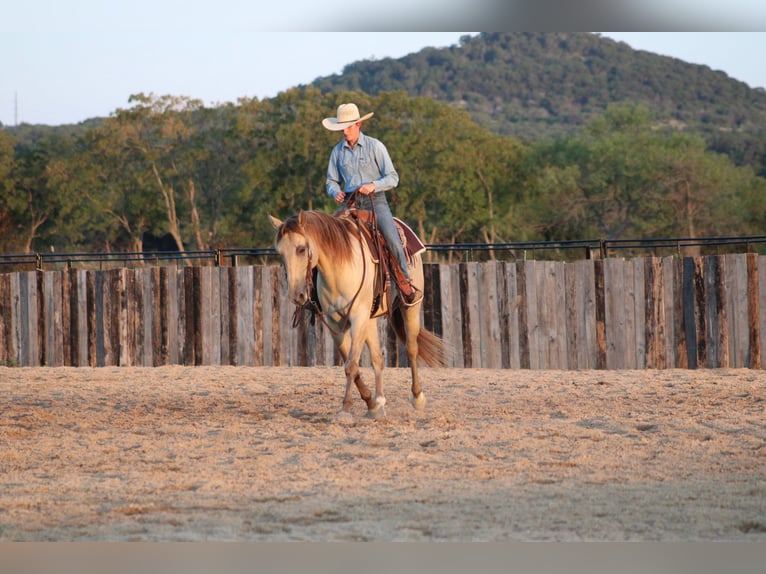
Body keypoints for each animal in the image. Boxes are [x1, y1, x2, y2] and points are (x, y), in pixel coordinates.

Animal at [269, 209, 447, 422]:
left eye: (301, 249)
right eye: (280, 253)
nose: (297, 295)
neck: (337, 270)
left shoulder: (358, 318)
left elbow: (351, 365)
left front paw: (346, 409)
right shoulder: (335, 325)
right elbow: (350, 363)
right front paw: (371, 404)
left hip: (409, 309)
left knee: (412, 348)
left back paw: (417, 397)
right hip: (370, 320)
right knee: (378, 358)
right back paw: (380, 400)